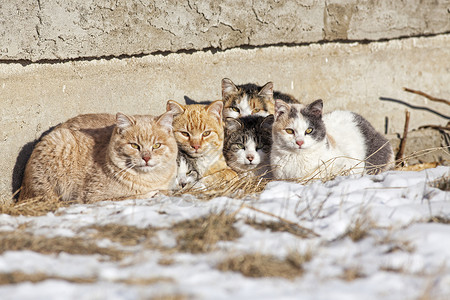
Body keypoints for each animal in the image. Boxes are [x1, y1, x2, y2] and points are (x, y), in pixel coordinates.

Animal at [19, 109, 178, 203]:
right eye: (134, 145)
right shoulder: (93, 198)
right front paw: (152, 193)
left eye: (157, 145)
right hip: (60, 142)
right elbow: (130, 197)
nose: (146, 158)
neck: (151, 179)